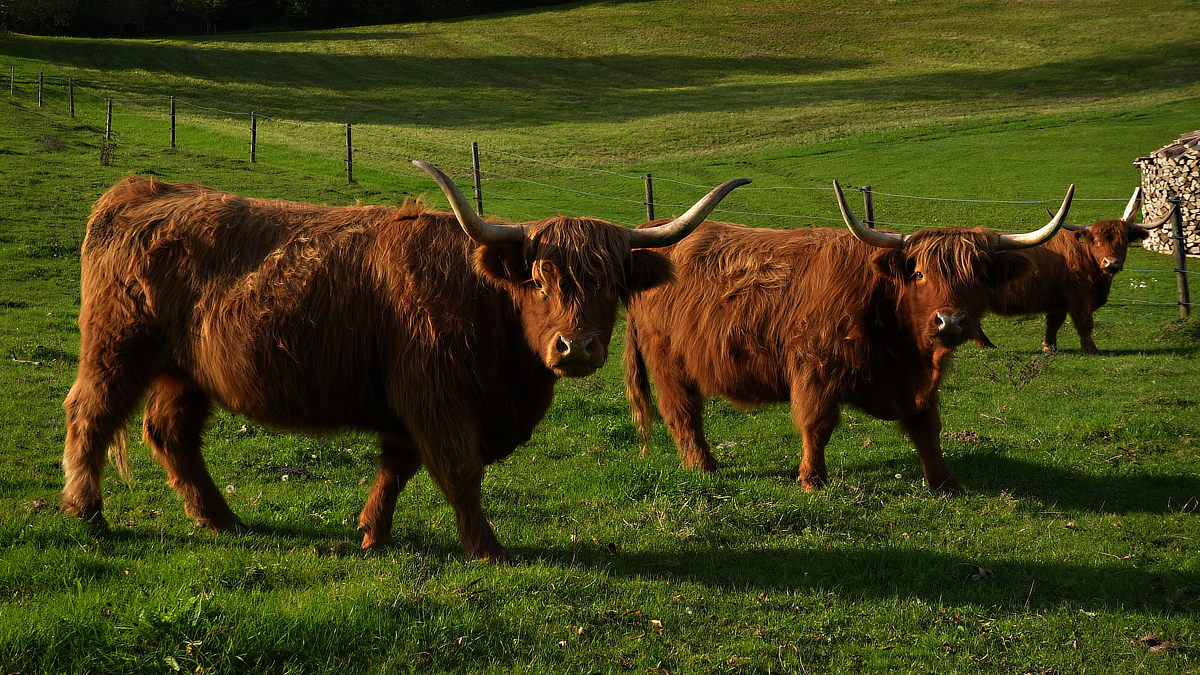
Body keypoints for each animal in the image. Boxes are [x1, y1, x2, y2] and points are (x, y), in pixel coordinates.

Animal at [60, 162, 749, 561]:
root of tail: (140, 191)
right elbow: (460, 474)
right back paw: (85, 511)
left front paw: (372, 533)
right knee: (90, 416)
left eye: (609, 283)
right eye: (539, 277)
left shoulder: (407, 408)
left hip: (185, 369)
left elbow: (395, 470)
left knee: (169, 432)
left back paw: (221, 520)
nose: (575, 348)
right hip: (117, 348)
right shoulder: (435, 399)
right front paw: (488, 549)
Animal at [623, 181, 1073, 493]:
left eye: (979, 276)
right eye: (919, 274)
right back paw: (703, 466)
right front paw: (812, 480)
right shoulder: (815, 369)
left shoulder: (917, 386)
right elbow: (818, 425)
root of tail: (648, 232)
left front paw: (946, 484)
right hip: (668, 361)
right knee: (682, 412)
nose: (950, 321)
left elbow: (927, 428)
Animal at [974, 187, 1175, 354]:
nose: (1111, 262)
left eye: (1124, 240)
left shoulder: (1059, 301)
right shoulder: (1079, 297)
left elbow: (1054, 323)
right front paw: (1092, 350)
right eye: (1095, 241)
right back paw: (987, 345)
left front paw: (1050, 347)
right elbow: (1085, 324)